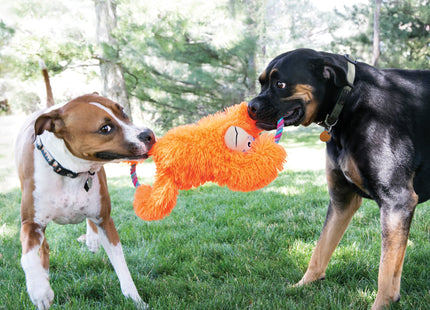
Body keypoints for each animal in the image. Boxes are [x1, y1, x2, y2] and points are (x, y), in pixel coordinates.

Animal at [14, 91, 155, 308]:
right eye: (105, 128)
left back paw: (92, 239)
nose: (149, 134)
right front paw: (40, 291)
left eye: (122, 111)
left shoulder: (105, 220)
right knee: (43, 249)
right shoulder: (31, 223)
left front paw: (135, 300)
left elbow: (121, 264)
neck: (70, 171)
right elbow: (28, 258)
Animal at [247, 47, 430, 308]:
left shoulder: (397, 202)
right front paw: (304, 284)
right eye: (262, 83)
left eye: (280, 84)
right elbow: (321, 248)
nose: (249, 107)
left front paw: (382, 304)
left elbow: (386, 272)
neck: (349, 102)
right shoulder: (342, 199)